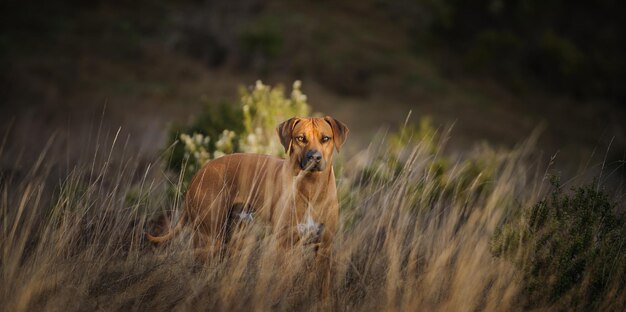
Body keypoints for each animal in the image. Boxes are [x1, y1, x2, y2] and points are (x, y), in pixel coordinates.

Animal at [146, 116, 346, 264]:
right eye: (301, 138)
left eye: (325, 138)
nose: (315, 157)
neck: (312, 188)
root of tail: (200, 172)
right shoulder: (285, 245)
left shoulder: (324, 247)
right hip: (208, 235)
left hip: (231, 234)